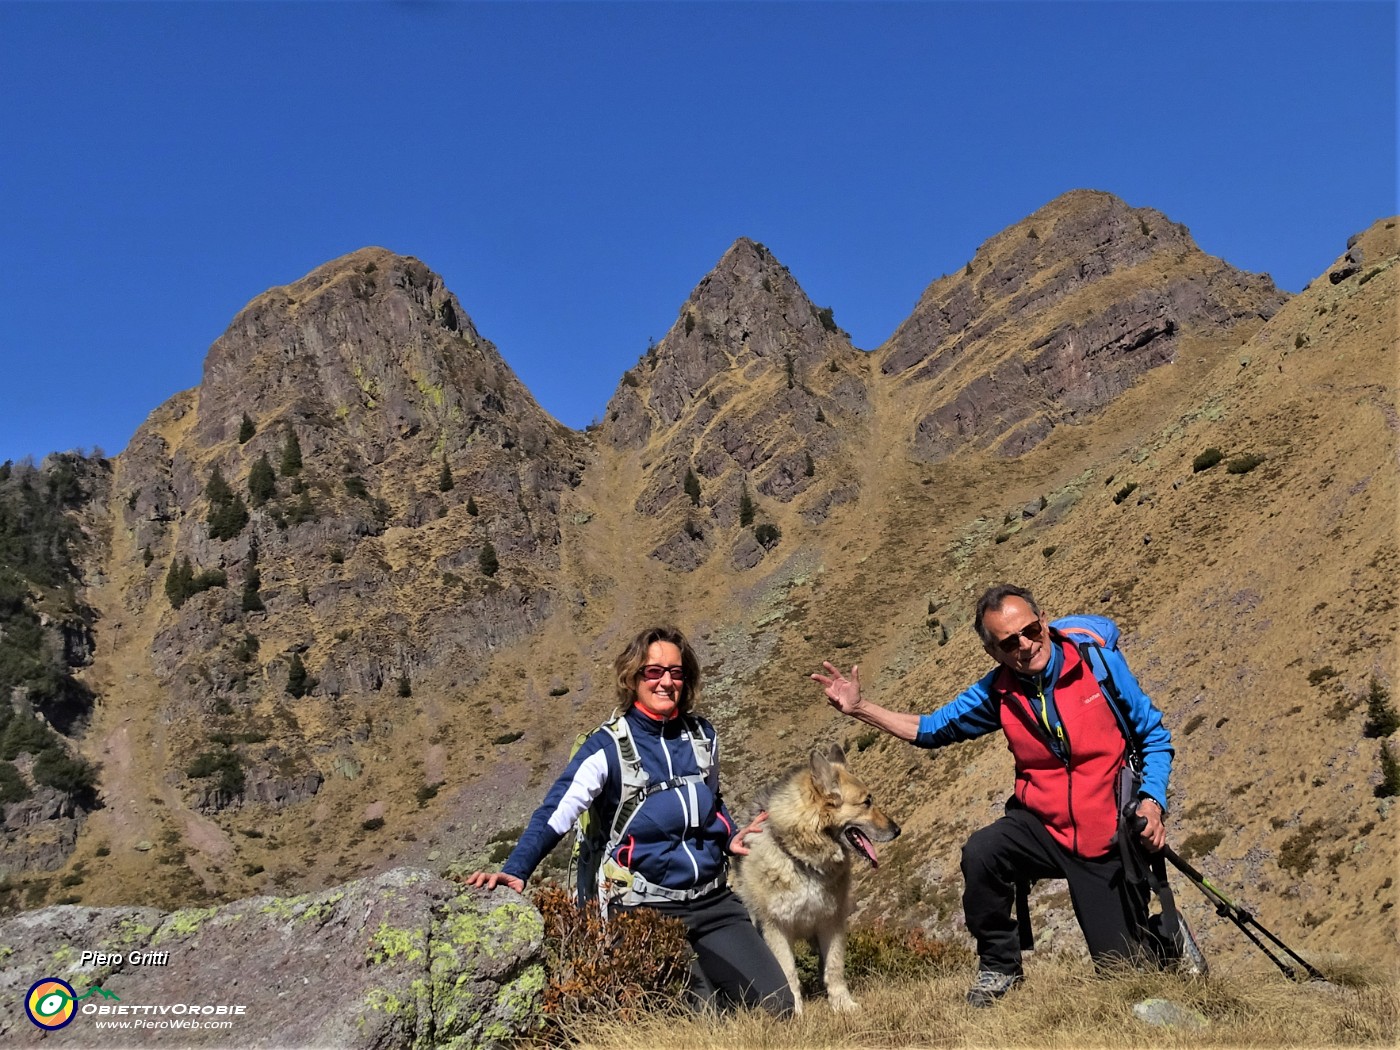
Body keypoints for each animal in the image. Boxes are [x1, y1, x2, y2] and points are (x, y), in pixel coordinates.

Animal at [728, 744, 901, 1013]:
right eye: (867, 802)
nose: (897, 830)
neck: (802, 858)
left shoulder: (831, 921)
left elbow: (834, 967)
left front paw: (843, 1005)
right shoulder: (775, 928)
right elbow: (788, 973)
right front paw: (797, 1012)